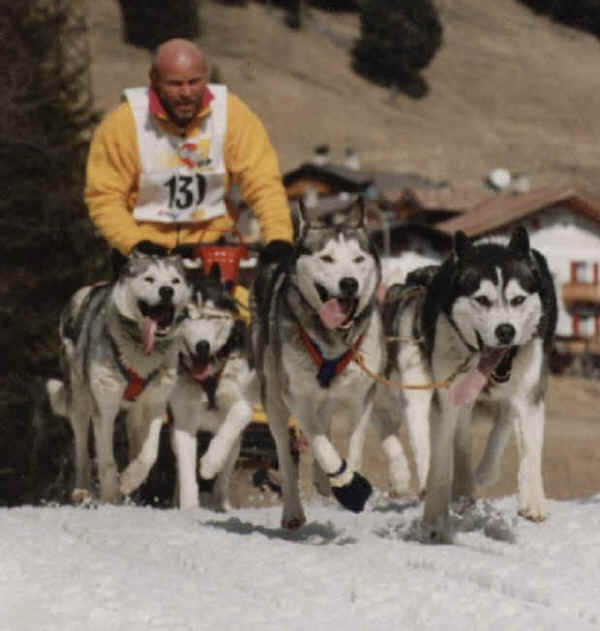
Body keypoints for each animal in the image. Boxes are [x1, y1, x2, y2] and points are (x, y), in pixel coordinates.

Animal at [48, 252, 190, 504]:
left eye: (175, 281)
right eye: (149, 278)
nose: (167, 291)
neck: (142, 352)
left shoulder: (155, 404)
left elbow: (149, 454)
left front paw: (129, 480)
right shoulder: (104, 407)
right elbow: (106, 461)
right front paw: (110, 496)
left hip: (134, 415)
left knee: (135, 447)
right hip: (80, 403)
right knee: (82, 451)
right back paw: (82, 490)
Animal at [169, 264, 253, 512]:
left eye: (211, 316)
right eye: (184, 316)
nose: (202, 346)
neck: (208, 379)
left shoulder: (243, 402)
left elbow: (238, 414)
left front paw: (210, 461)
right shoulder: (183, 422)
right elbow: (187, 470)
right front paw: (188, 507)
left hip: (236, 446)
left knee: (224, 477)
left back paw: (221, 503)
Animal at [248, 198, 384, 528]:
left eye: (358, 259)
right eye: (327, 258)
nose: (348, 283)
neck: (332, 339)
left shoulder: (362, 394)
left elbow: (354, 444)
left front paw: (349, 480)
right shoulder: (296, 395)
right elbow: (322, 445)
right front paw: (348, 487)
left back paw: (323, 481)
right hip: (273, 397)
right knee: (286, 453)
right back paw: (293, 510)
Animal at [392, 228, 556, 544]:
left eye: (518, 299)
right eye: (482, 299)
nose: (505, 331)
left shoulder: (529, 394)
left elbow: (531, 447)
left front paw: (533, 499)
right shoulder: (445, 399)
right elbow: (441, 461)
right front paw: (434, 518)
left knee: (501, 426)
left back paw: (481, 474)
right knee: (456, 436)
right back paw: (462, 485)